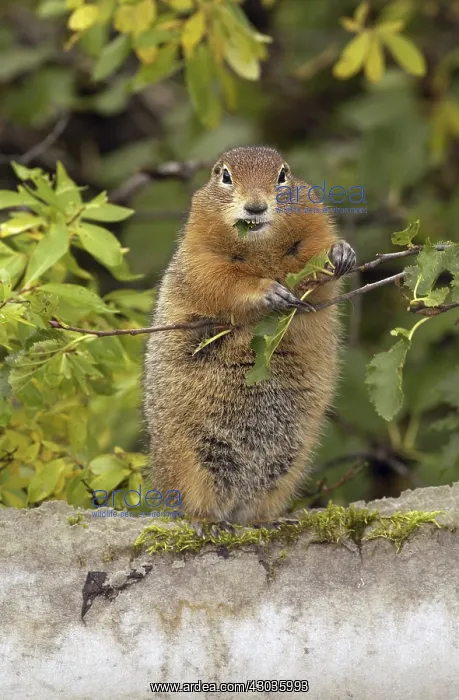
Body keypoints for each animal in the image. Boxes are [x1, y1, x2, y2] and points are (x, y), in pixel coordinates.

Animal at [143, 145, 355, 525]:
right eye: (225, 176)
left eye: (283, 175)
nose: (255, 207)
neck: (261, 247)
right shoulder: (201, 257)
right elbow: (223, 282)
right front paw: (267, 291)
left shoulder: (313, 231)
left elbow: (320, 283)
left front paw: (340, 253)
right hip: (190, 457)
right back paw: (207, 523)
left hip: (289, 461)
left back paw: (272, 519)